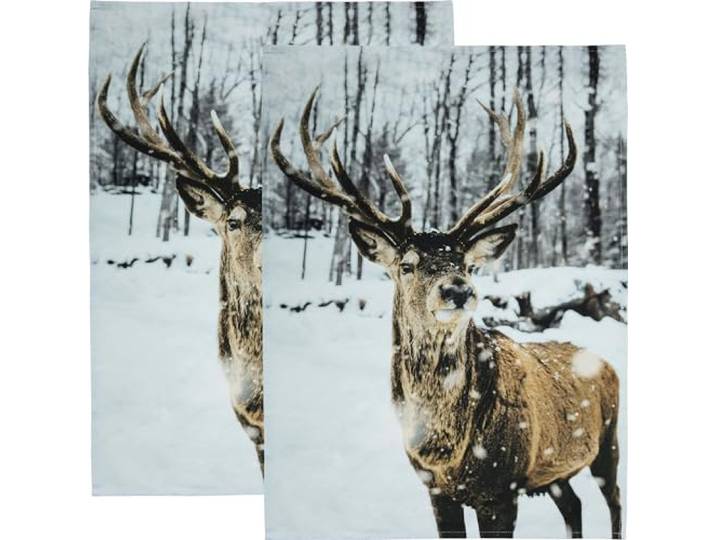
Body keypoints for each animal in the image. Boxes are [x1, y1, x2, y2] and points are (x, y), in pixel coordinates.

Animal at [271, 88, 621, 538]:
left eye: (467, 264)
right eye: (407, 265)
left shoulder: (501, 489)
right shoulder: (434, 488)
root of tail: (606, 362)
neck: (444, 449)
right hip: (556, 473)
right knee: (574, 505)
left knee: (614, 501)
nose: (457, 289)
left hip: (608, 442)